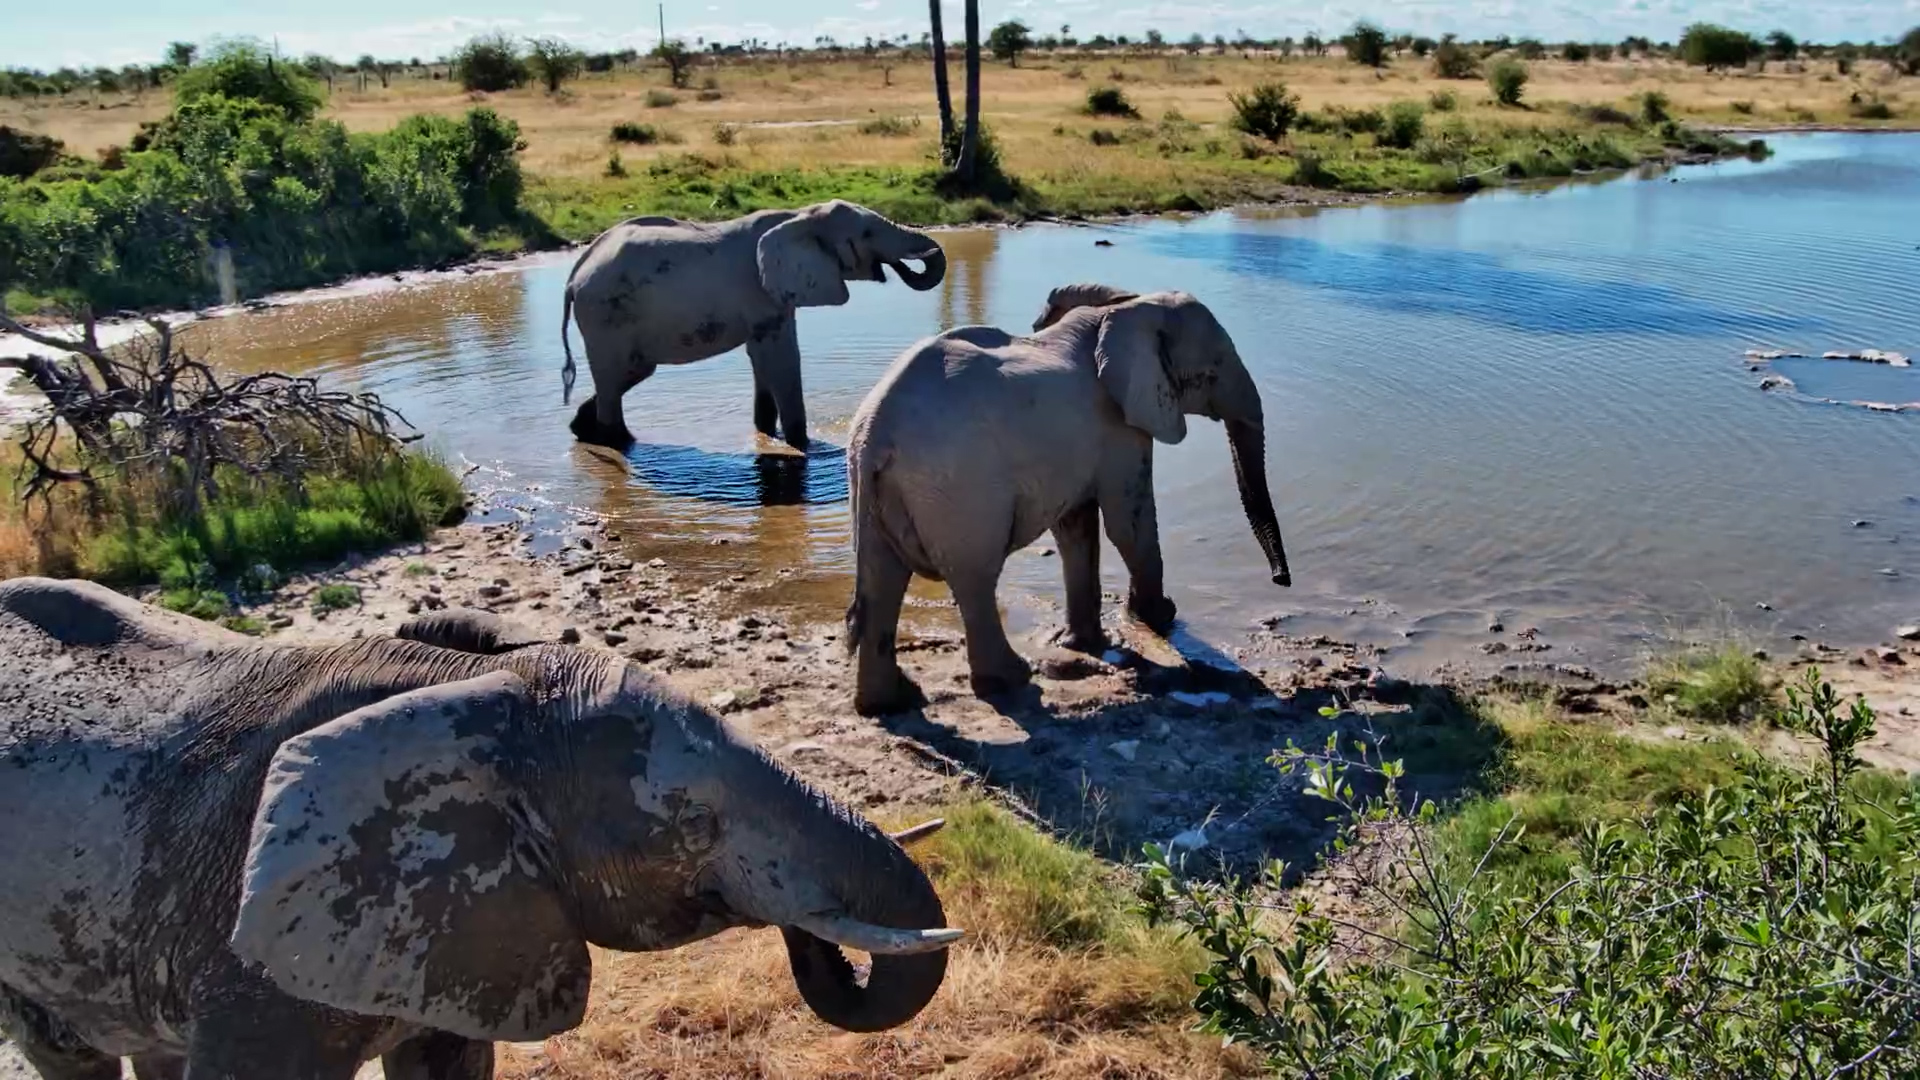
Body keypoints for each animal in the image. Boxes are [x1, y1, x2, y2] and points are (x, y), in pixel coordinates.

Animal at [559, 200, 948, 450]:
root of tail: (574, 276)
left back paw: (582, 429)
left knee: (626, 375)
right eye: (867, 233)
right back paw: (621, 442)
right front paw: (801, 445)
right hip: (607, 316)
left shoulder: (776, 295)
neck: (801, 216)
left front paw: (766, 433)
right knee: (619, 376)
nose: (928, 254)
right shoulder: (762, 295)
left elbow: (763, 359)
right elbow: (781, 359)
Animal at [843, 284, 1292, 715]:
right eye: (1213, 370)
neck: (1126, 309)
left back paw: (890, 702)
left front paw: (1083, 642)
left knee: (883, 581)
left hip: (879, 492)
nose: (1280, 580)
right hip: (959, 487)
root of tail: (875, 436)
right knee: (974, 577)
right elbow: (1128, 524)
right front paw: (1159, 619)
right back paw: (1009, 679)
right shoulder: (1119, 427)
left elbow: (1076, 528)